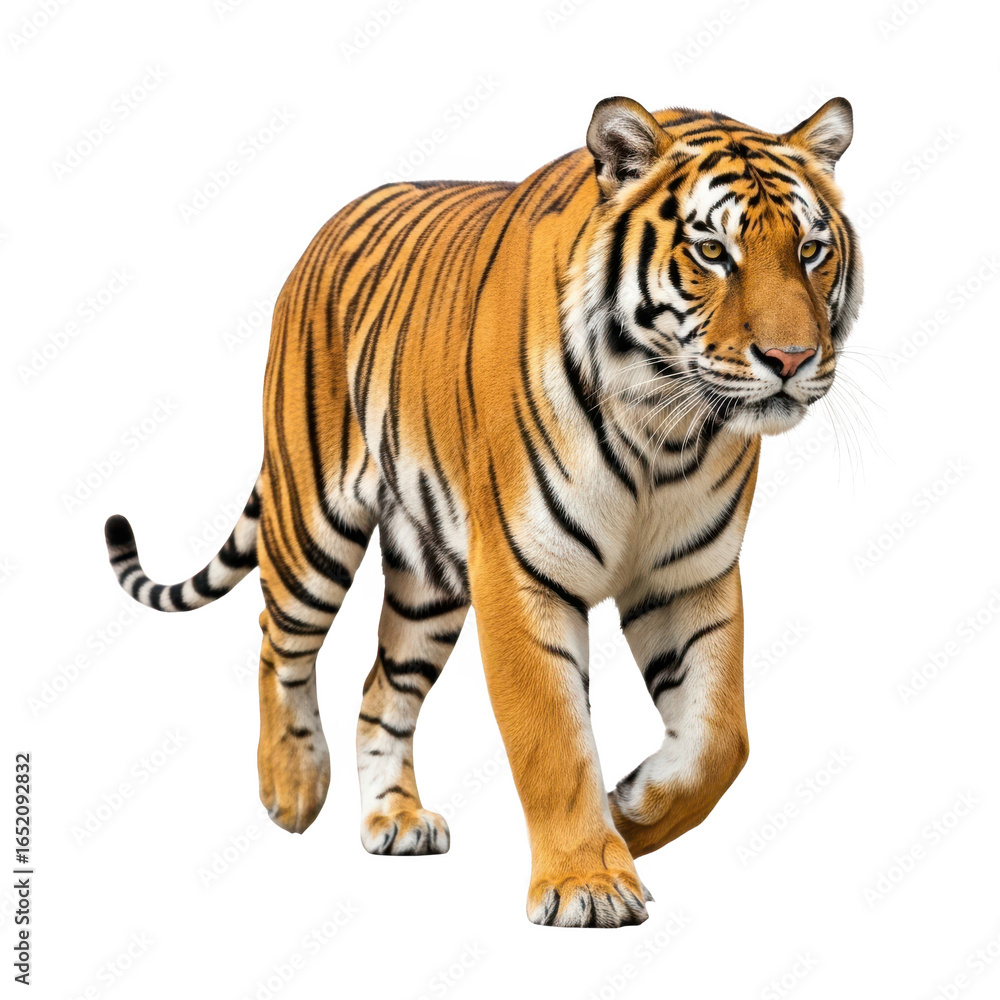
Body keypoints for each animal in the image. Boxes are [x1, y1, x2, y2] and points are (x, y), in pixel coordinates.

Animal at [104, 94, 862, 927]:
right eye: (712, 252)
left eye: (812, 249)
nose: (791, 359)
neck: (664, 428)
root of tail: (328, 226)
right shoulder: (522, 575)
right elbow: (554, 736)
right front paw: (587, 883)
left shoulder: (689, 578)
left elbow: (722, 737)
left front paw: (631, 812)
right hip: (311, 523)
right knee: (280, 643)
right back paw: (292, 784)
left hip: (429, 582)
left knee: (381, 690)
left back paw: (395, 818)